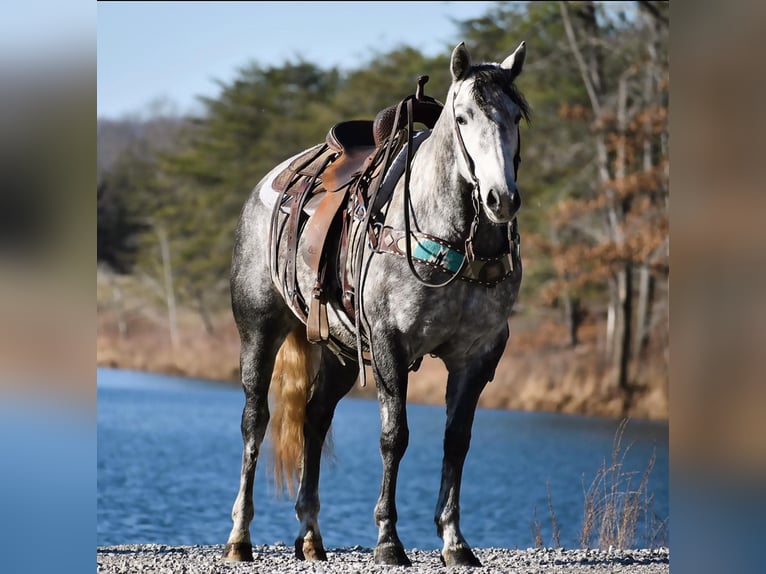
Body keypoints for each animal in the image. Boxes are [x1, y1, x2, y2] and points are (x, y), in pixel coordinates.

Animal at [225, 41, 532, 572]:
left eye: (514, 116)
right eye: (463, 117)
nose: (501, 199)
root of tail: (268, 184)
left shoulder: (478, 355)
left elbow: (457, 441)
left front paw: (455, 542)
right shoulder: (391, 343)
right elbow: (395, 436)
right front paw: (389, 540)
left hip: (341, 352)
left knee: (314, 417)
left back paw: (311, 537)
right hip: (259, 331)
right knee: (254, 421)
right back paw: (240, 538)